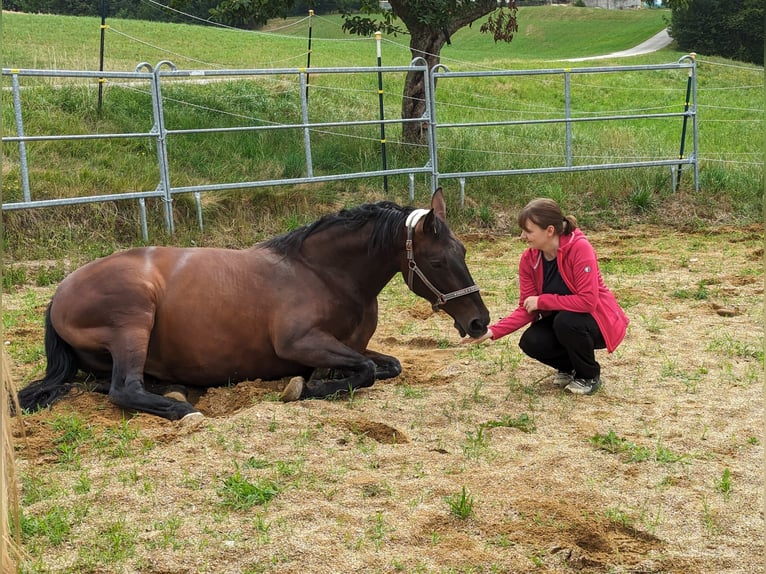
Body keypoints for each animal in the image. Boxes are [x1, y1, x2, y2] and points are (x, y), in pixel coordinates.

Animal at [17, 188, 490, 421]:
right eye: (436, 260)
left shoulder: (348, 345)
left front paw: (318, 380)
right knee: (123, 389)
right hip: (133, 318)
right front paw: (305, 388)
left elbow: (387, 365)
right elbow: (366, 372)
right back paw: (183, 408)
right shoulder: (298, 343)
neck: (323, 273)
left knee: (106, 384)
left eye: (464, 251)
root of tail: (60, 291)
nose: (479, 321)